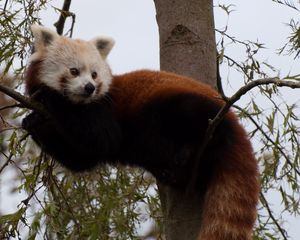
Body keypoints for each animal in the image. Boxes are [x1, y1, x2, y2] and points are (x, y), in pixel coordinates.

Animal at [22, 25, 258, 239]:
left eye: (95, 74)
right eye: (74, 71)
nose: (89, 87)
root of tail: (232, 119)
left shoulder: (104, 110)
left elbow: (103, 138)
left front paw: (51, 97)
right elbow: (81, 159)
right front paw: (32, 121)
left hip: (185, 108)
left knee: (195, 120)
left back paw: (190, 149)